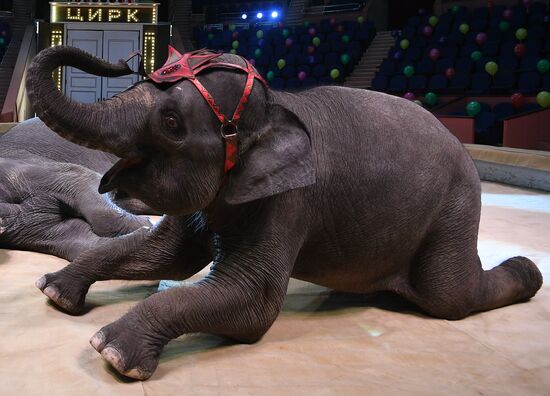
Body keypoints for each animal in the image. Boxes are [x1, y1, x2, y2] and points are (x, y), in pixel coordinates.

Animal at [27, 45, 544, 380]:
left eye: (171, 123)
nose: (126, 59)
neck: (276, 105)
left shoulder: (290, 200)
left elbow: (253, 303)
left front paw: (113, 351)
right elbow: (166, 254)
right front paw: (56, 292)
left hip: (456, 207)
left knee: (449, 295)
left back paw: (528, 272)